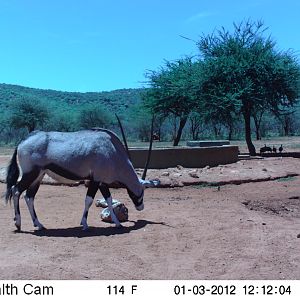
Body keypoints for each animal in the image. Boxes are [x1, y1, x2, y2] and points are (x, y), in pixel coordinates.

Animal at [5, 123, 157, 231]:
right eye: (142, 190)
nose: (141, 207)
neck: (112, 150)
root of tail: (23, 141)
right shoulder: (95, 180)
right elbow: (88, 200)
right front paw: (84, 224)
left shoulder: (102, 182)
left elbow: (109, 199)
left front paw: (118, 223)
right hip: (30, 174)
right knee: (16, 190)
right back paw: (18, 223)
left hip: (38, 177)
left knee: (29, 196)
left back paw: (39, 224)